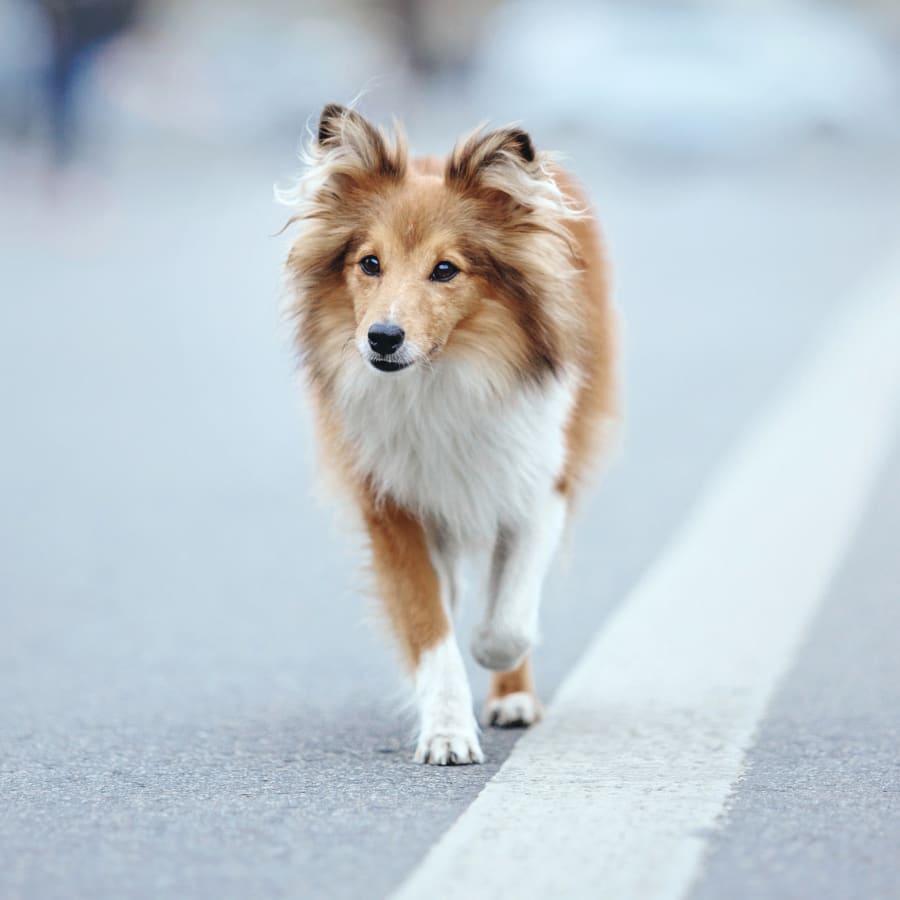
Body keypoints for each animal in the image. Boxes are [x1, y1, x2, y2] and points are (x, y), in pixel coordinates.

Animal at [282, 105, 620, 764]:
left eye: (446, 270)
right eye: (369, 262)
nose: (382, 338)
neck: (440, 381)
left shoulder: (540, 483)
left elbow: (506, 621)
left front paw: (495, 659)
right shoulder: (391, 505)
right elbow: (428, 624)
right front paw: (445, 730)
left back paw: (513, 696)